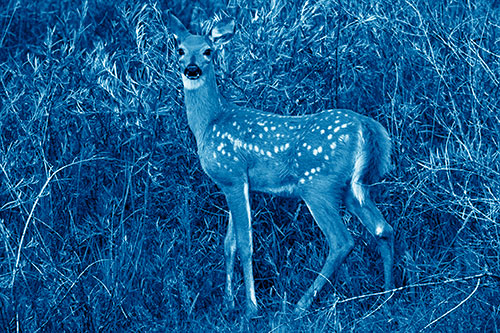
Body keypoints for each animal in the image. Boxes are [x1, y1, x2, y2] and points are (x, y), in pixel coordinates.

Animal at [168, 14, 394, 316]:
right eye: (180, 50)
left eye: (208, 51)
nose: (191, 70)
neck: (209, 123)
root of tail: (366, 127)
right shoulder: (236, 183)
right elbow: (228, 244)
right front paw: (228, 302)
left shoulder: (232, 174)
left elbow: (245, 244)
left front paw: (250, 308)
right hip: (352, 186)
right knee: (383, 229)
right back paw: (388, 296)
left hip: (317, 184)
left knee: (342, 241)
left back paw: (299, 307)